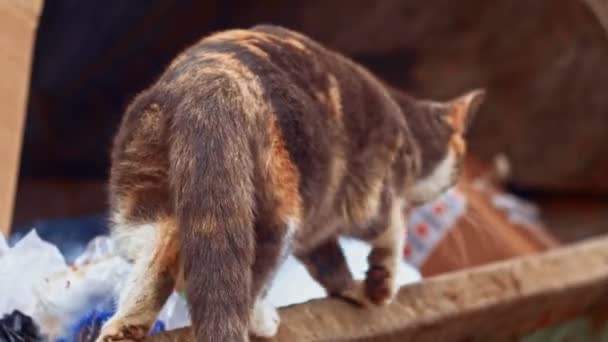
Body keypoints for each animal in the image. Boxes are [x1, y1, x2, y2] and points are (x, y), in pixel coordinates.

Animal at [96, 24, 484, 342]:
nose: (456, 182)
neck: (409, 128)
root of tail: (211, 80)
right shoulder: (370, 197)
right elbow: (392, 228)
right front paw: (380, 283)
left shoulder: (317, 235)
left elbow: (331, 267)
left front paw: (355, 290)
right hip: (276, 211)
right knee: (248, 280)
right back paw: (260, 320)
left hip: (143, 199)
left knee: (160, 250)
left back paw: (125, 328)